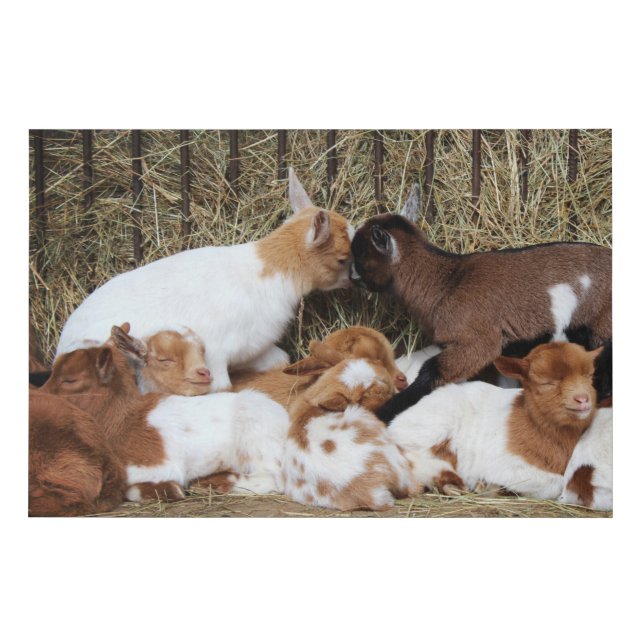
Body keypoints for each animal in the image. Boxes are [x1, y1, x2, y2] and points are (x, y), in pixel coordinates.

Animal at [42, 325, 290, 502]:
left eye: (70, 379)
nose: (40, 394)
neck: (123, 421)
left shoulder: (155, 464)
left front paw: (172, 490)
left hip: (257, 440)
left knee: (273, 478)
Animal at [56, 168, 354, 392]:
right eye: (342, 258)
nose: (354, 280)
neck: (269, 271)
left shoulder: (257, 351)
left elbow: (281, 360)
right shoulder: (215, 358)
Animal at [350, 185, 612, 423]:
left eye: (361, 254)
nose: (351, 276)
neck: (447, 283)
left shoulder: (478, 342)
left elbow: (431, 369)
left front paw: (383, 412)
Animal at [388, 342, 603, 500]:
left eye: (589, 376)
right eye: (546, 383)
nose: (583, 399)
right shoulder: (504, 465)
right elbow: (556, 484)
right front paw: (490, 486)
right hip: (430, 427)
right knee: (408, 456)